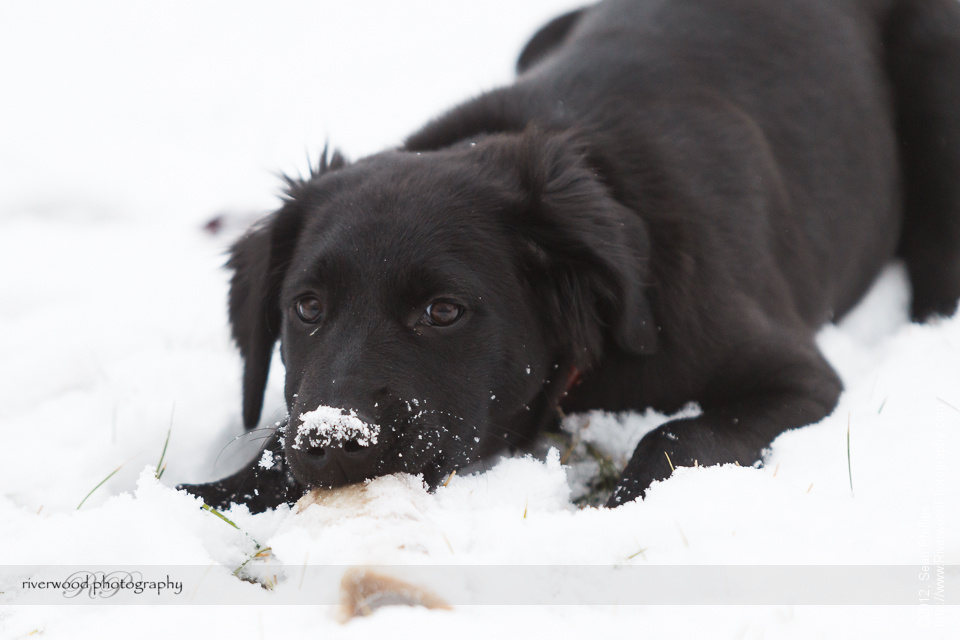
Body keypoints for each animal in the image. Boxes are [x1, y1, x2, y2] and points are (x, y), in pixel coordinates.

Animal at [180, 0, 960, 512]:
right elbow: (268, 449)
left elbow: (677, 437)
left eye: (444, 311)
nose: (332, 441)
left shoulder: (797, 378)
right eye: (307, 307)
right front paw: (209, 494)